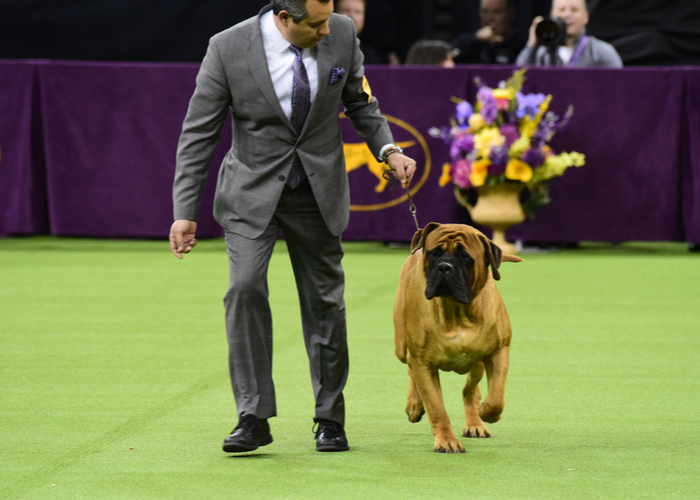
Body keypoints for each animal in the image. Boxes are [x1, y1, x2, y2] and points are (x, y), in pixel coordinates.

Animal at [394, 223, 520, 454]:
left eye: (465, 256)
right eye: (434, 253)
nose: (444, 267)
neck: (457, 311)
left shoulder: (498, 350)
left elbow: (496, 397)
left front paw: (486, 413)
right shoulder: (423, 363)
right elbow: (436, 407)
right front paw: (446, 440)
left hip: (477, 363)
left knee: (470, 391)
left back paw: (475, 423)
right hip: (401, 346)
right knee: (409, 369)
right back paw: (414, 405)